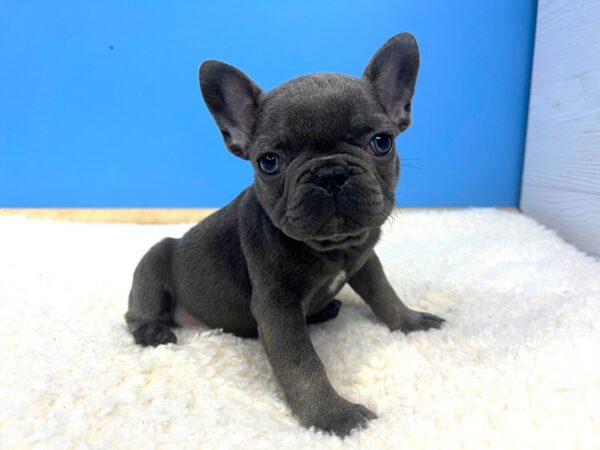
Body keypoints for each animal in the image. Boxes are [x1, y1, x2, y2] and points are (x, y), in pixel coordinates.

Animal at [125, 32, 446, 436]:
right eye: (269, 162)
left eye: (382, 142)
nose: (330, 174)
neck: (332, 248)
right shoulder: (277, 309)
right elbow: (303, 366)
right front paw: (333, 416)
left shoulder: (365, 261)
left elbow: (384, 294)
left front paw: (409, 321)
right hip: (153, 262)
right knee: (137, 312)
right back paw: (152, 332)